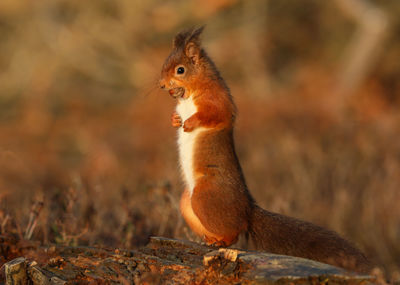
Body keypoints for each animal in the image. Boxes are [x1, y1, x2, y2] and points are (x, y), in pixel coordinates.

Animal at [159, 27, 372, 272]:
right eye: (165, 63)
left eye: (180, 70)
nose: (161, 84)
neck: (190, 92)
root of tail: (248, 210)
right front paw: (175, 120)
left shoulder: (218, 99)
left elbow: (215, 114)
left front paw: (190, 123)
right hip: (188, 202)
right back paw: (211, 239)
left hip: (206, 197)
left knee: (235, 231)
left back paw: (221, 241)